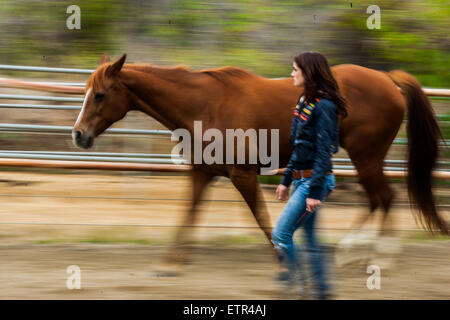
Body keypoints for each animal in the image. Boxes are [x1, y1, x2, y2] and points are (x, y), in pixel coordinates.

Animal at [71, 53, 446, 268]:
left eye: (100, 94)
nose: (78, 134)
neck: (204, 105)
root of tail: (389, 80)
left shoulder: (243, 175)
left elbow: (262, 218)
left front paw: (281, 256)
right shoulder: (202, 173)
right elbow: (189, 213)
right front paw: (173, 260)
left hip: (366, 156)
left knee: (383, 198)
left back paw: (369, 254)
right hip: (366, 159)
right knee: (377, 199)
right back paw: (357, 252)